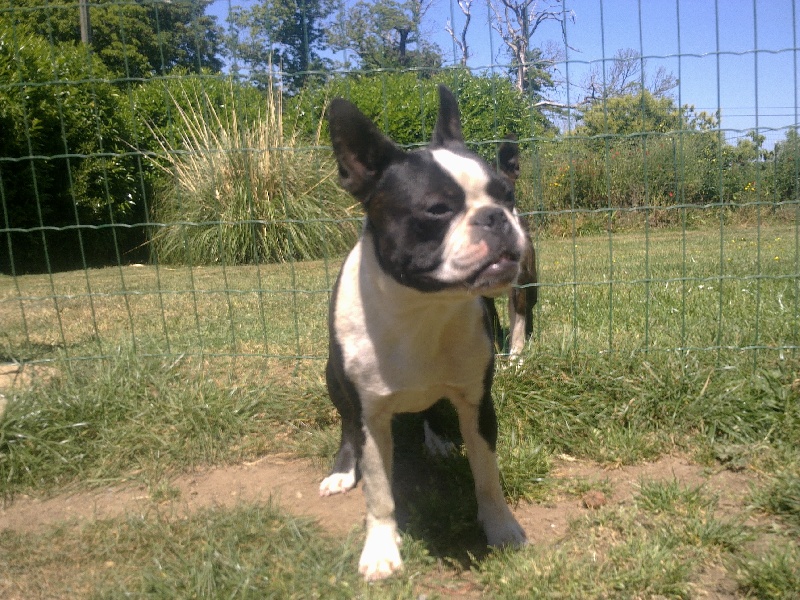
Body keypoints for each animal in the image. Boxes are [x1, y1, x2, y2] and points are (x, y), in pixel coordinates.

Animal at [318, 86, 532, 580]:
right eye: (437, 210)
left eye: (508, 195)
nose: (497, 216)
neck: (424, 308)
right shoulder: (369, 415)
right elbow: (379, 493)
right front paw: (381, 549)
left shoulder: (477, 403)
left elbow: (487, 477)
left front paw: (501, 528)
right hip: (333, 380)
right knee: (345, 427)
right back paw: (342, 469)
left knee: (433, 407)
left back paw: (436, 439)